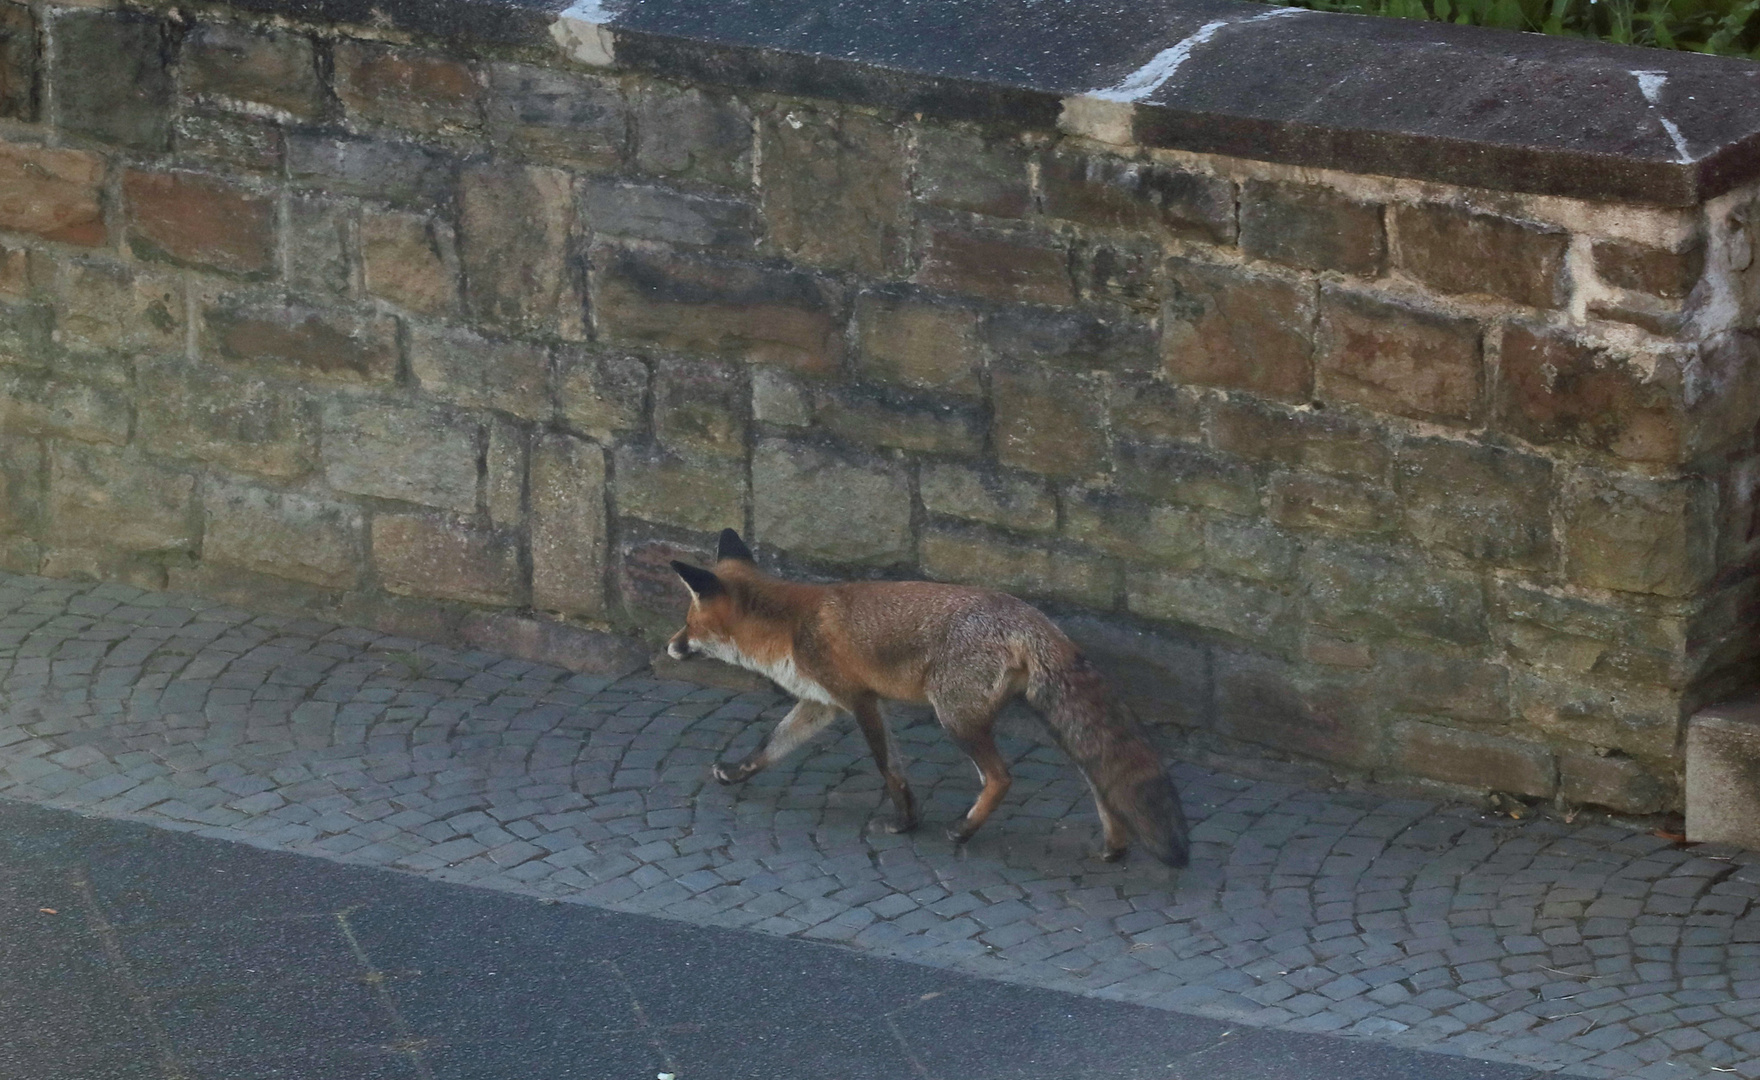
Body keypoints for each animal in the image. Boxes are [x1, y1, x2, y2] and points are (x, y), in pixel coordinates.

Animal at [665, 527, 1189, 868]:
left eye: (687, 623)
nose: (670, 646)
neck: (791, 626)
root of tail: (1032, 617)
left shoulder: (860, 700)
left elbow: (890, 770)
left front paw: (905, 822)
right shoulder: (823, 704)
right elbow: (770, 746)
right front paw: (736, 772)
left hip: (954, 717)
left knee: (1001, 777)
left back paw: (965, 829)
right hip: (1046, 720)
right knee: (1100, 782)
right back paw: (1114, 847)